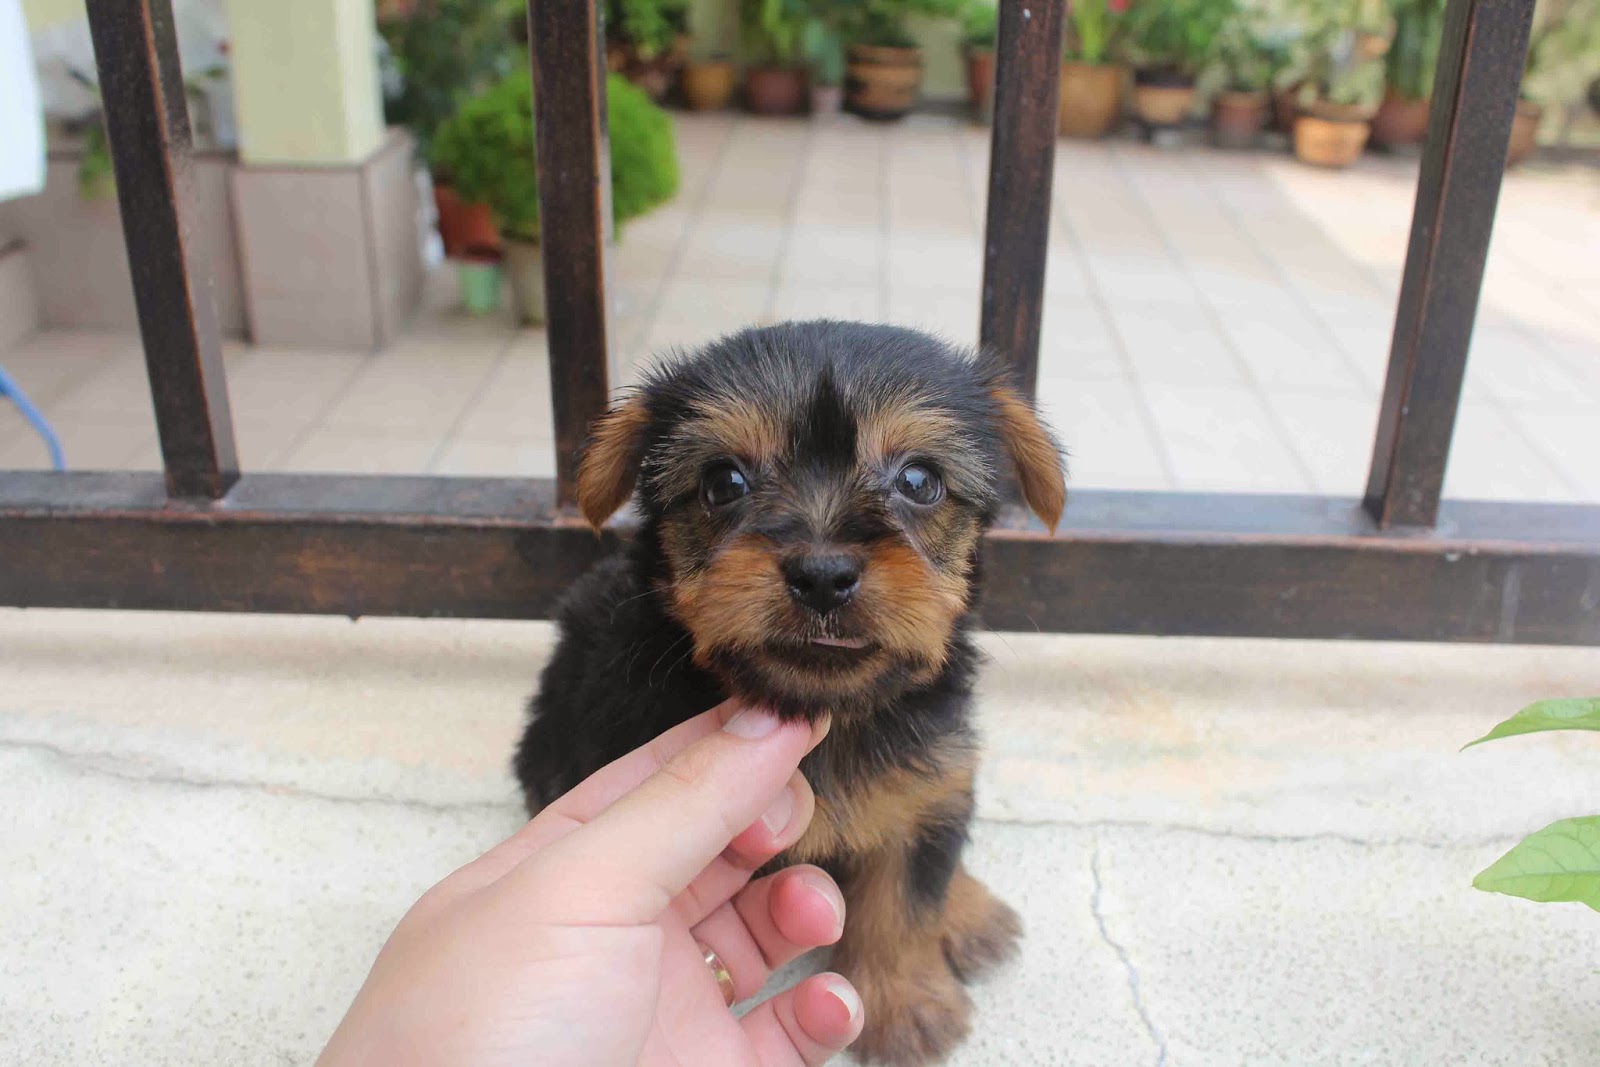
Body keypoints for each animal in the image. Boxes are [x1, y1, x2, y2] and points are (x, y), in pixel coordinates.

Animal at [512, 321, 1062, 1062]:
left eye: (920, 481)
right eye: (723, 481)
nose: (823, 573)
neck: (831, 709)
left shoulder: (929, 770)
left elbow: (906, 894)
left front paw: (902, 1005)